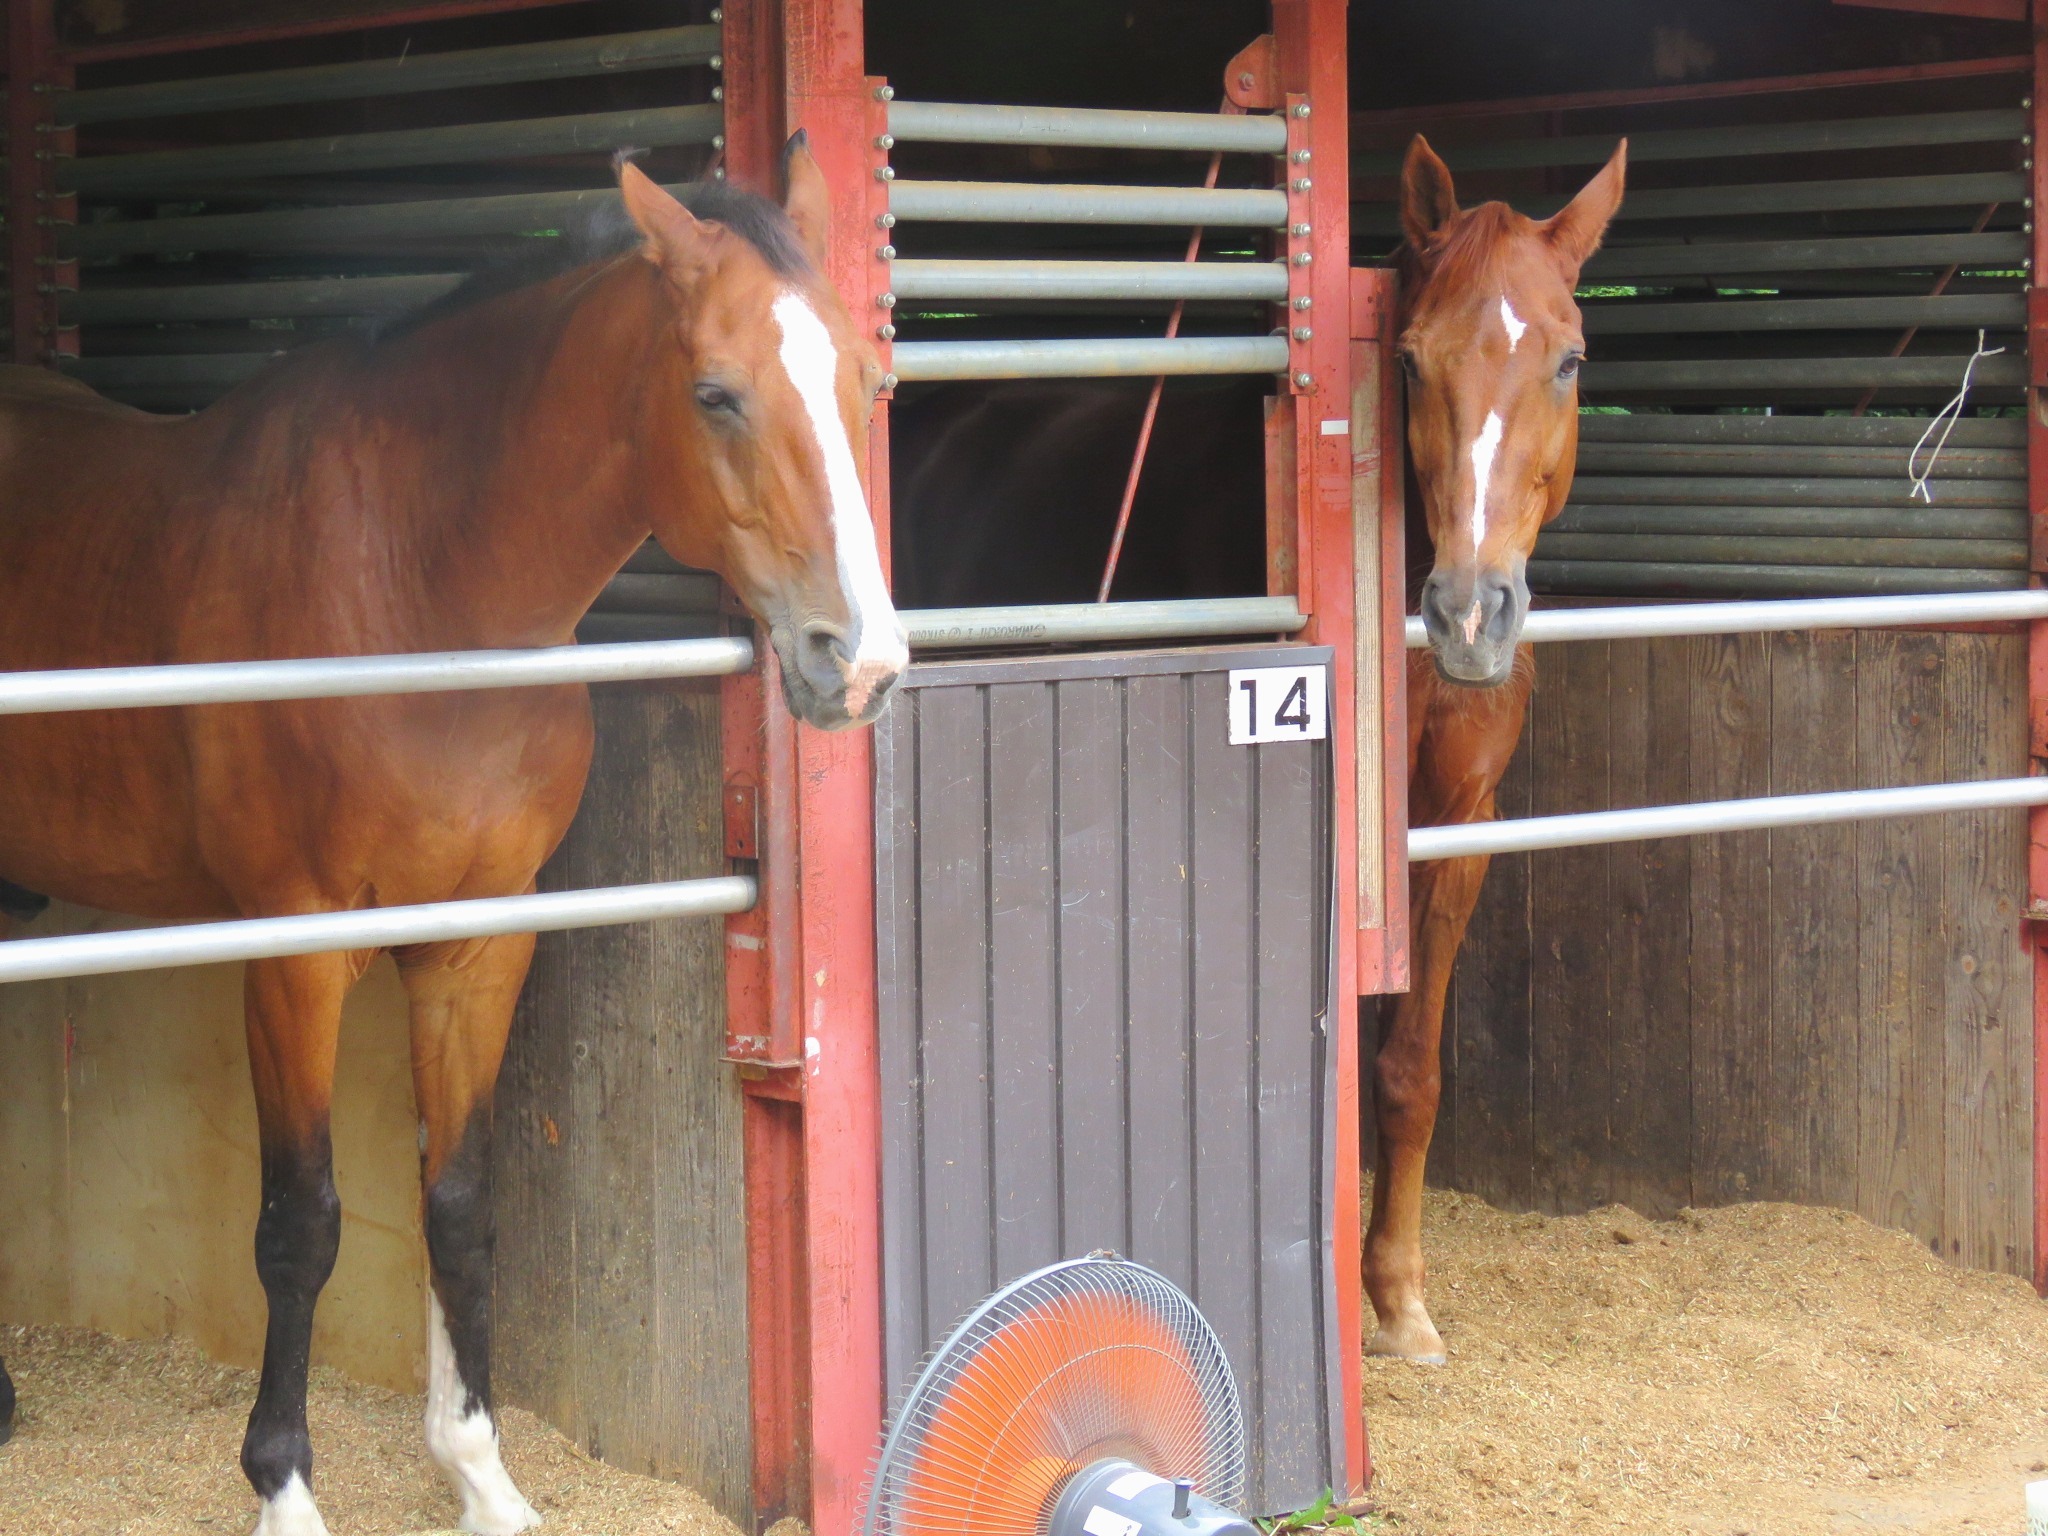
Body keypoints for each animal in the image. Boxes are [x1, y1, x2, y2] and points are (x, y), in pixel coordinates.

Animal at [0, 135, 905, 1536]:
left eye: (868, 378)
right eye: (714, 394)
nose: (856, 664)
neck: (419, 592)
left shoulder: (479, 948)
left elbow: (460, 1204)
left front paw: (479, 1473)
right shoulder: (296, 957)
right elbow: (301, 1226)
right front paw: (284, 1488)